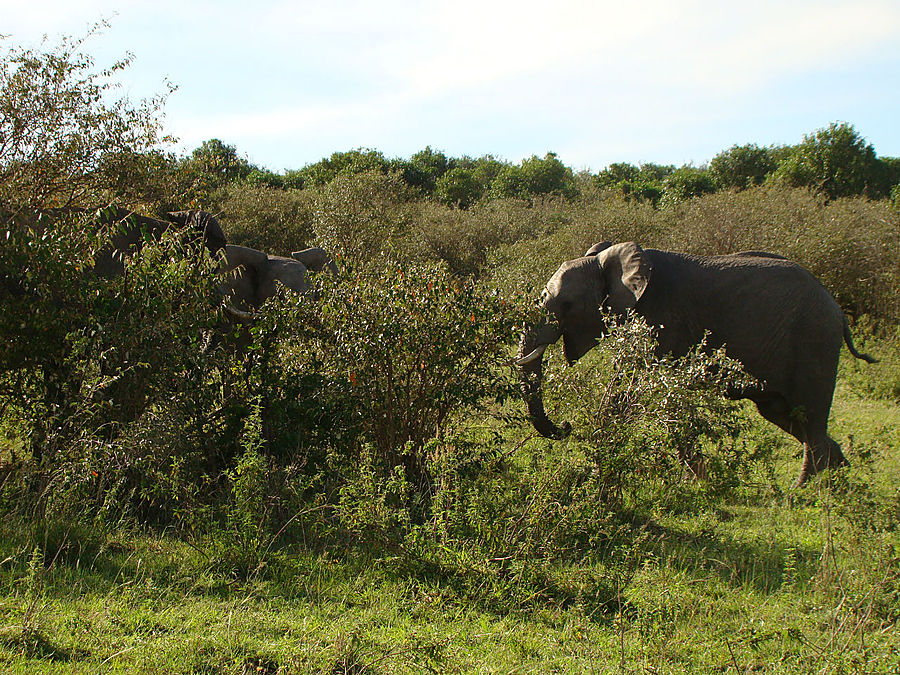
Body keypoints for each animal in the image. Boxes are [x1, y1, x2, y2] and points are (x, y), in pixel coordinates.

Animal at [516, 242, 876, 486]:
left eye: (566, 304)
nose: (565, 426)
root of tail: (838, 310)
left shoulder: (663, 319)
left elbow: (642, 392)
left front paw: (696, 481)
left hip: (815, 339)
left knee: (811, 418)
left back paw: (801, 492)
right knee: (786, 415)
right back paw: (840, 478)